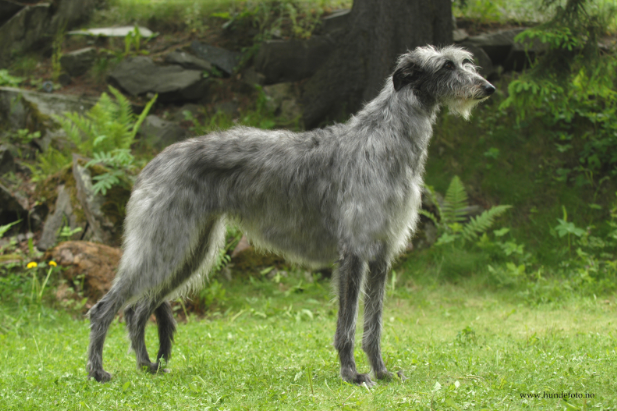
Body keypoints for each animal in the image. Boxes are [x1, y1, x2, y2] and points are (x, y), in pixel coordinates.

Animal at [86, 45, 494, 386]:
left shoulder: (380, 254)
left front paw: (380, 371)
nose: (488, 87)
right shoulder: (353, 253)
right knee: (105, 309)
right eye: (446, 65)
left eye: (465, 61)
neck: (383, 141)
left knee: (137, 311)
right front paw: (352, 374)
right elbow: (347, 326)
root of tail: (151, 163)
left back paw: (146, 365)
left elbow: (373, 325)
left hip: (190, 251)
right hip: (165, 243)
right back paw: (97, 371)